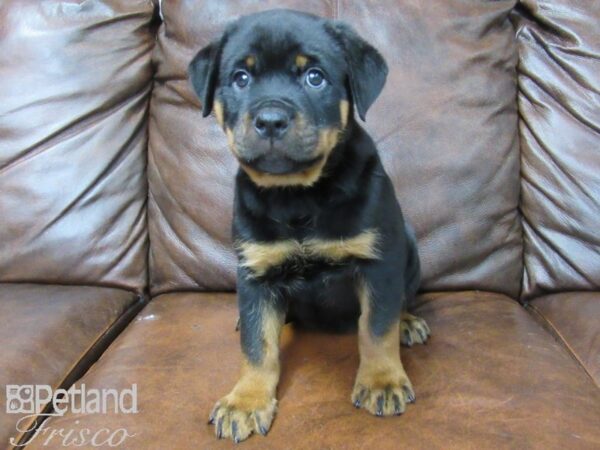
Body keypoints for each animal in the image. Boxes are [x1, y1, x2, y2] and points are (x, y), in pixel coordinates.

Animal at [190, 8, 428, 444]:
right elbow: (257, 346)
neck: (297, 195)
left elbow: (376, 326)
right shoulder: (256, 273)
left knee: (400, 301)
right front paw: (246, 401)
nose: (270, 120)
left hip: (408, 245)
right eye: (241, 78)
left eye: (314, 77)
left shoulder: (378, 261)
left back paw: (408, 322)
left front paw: (382, 381)